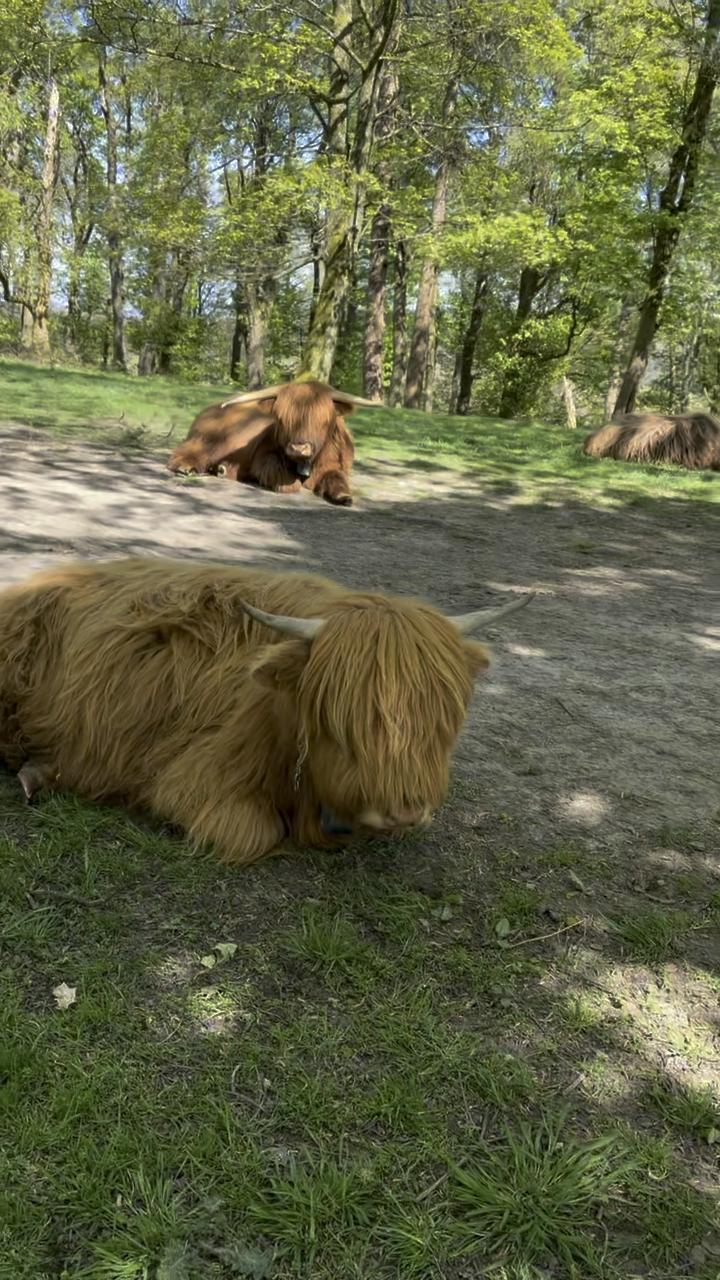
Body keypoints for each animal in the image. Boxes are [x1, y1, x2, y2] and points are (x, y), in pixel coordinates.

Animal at [168, 380, 378, 506]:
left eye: (324, 421)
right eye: (282, 419)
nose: (298, 447)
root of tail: (211, 408)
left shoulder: (336, 464)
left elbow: (335, 477)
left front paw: (344, 496)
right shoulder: (264, 458)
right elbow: (284, 478)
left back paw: (222, 469)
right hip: (208, 441)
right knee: (190, 451)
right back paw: (185, 467)